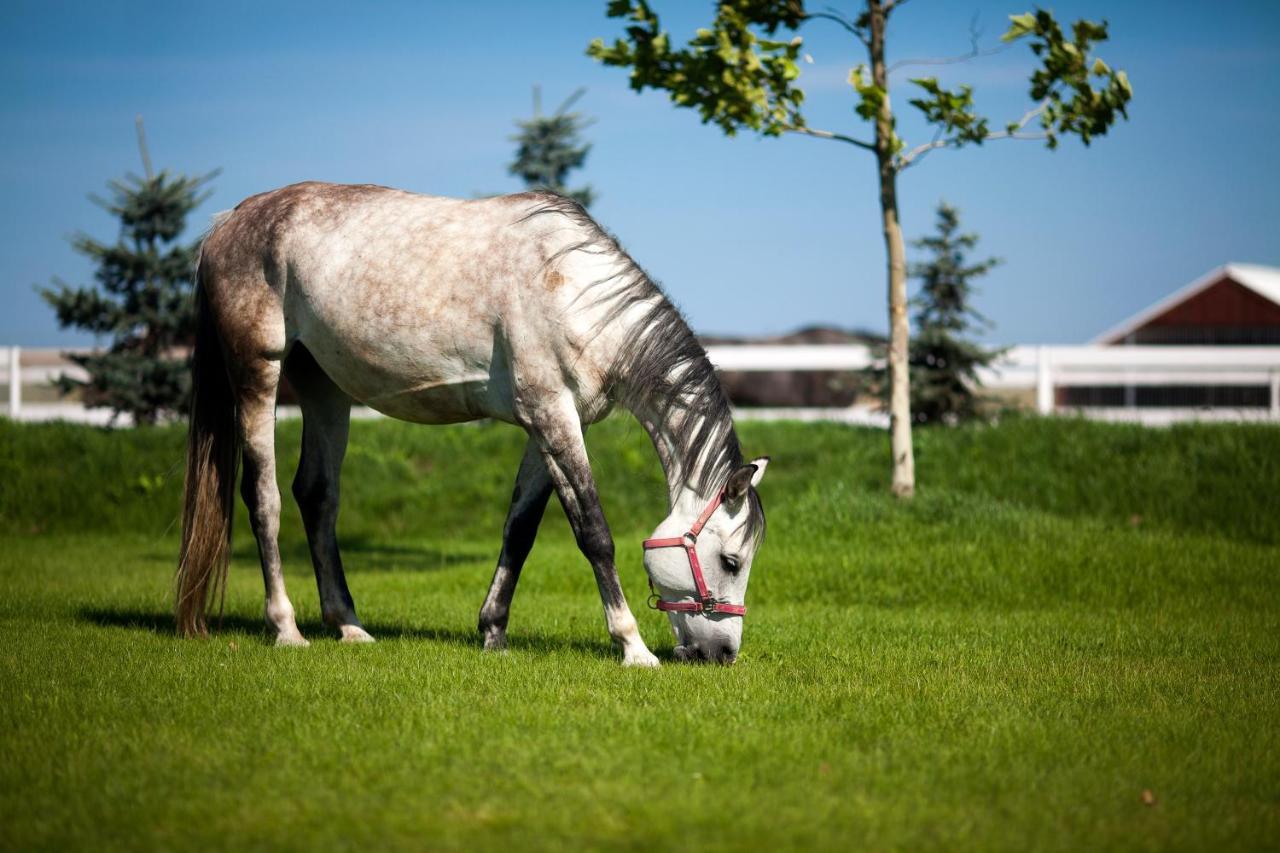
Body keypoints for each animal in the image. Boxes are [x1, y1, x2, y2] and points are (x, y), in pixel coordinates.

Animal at [175, 183, 762, 666]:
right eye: (731, 560)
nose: (722, 654)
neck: (573, 293)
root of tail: (230, 219)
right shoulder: (553, 417)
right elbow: (594, 533)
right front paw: (633, 646)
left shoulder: (549, 427)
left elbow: (519, 531)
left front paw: (493, 632)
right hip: (259, 372)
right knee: (264, 497)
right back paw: (286, 629)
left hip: (322, 384)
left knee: (317, 495)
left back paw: (349, 626)